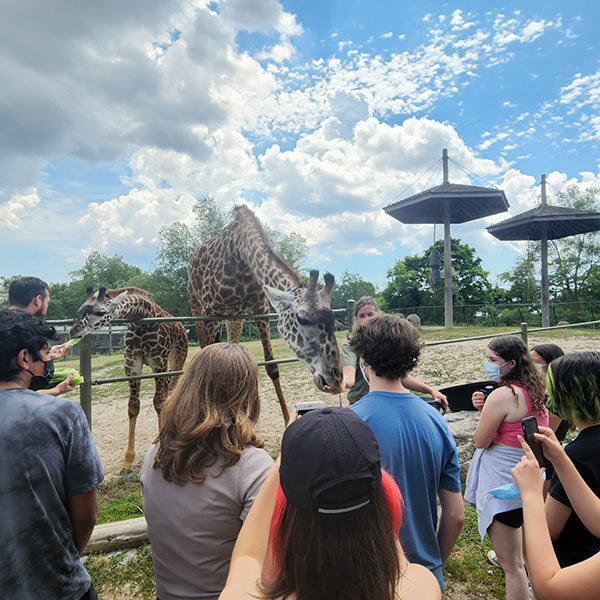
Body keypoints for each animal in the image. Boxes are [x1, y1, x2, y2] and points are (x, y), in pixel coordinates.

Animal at [69, 288, 188, 472]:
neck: (142, 320)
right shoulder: (132, 366)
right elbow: (133, 407)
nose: (73, 331)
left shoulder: (158, 363)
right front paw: (128, 460)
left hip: (177, 359)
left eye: (100, 312)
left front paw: (161, 451)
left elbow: (158, 403)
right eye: (79, 310)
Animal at [185, 203, 344, 422]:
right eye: (302, 319)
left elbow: (272, 367)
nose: (336, 380)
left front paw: (287, 419)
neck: (241, 256)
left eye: (335, 323)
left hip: (235, 318)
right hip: (197, 309)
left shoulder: (260, 309)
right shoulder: (210, 314)